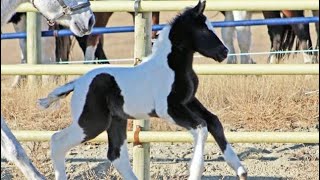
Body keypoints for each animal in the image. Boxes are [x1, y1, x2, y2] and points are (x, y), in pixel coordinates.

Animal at [38, 0, 248, 179]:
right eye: (204, 30)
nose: (224, 52)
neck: (171, 67)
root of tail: (78, 82)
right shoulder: (168, 109)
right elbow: (201, 127)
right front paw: (195, 173)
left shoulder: (189, 101)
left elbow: (214, 121)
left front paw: (240, 170)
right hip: (91, 123)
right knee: (57, 141)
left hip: (115, 121)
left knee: (116, 155)